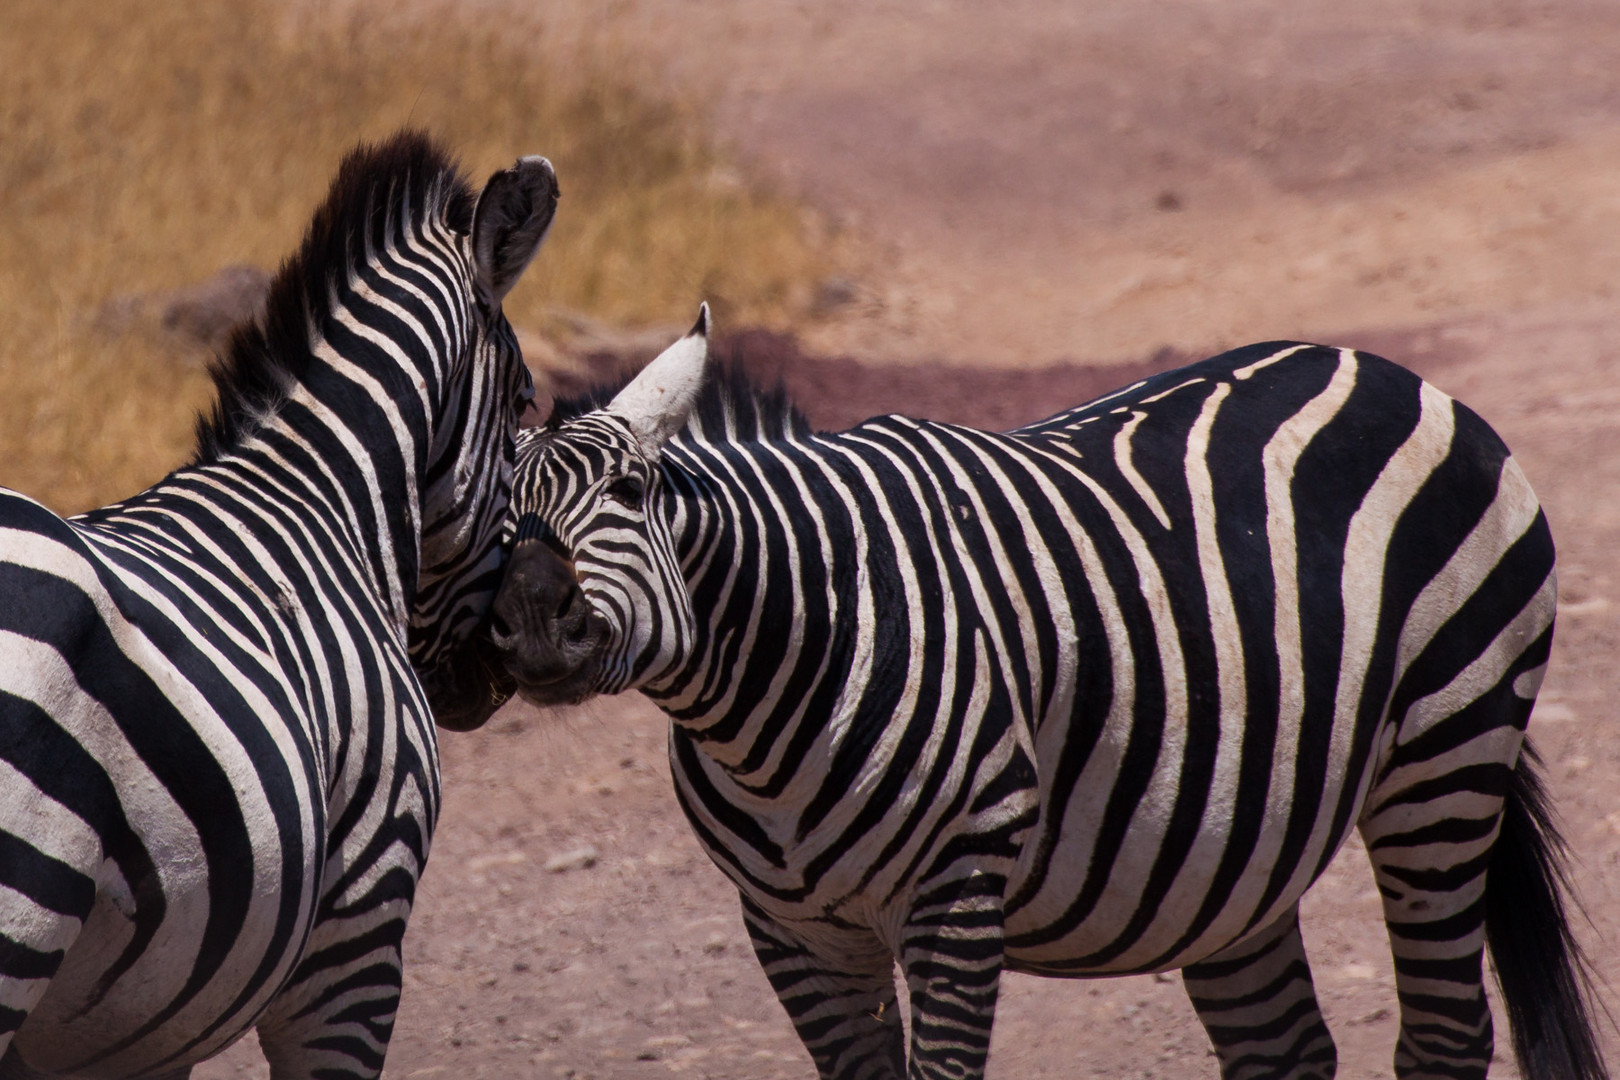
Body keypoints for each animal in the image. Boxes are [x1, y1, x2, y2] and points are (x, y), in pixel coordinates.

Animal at [489, 312, 1607, 1080]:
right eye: (500, 518)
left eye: (631, 493)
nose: (535, 618)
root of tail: (1377, 366)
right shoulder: (792, 927)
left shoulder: (957, 882)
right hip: (1239, 853)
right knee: (1285, 1050)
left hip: (1449, 754)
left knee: (1446, 1036)